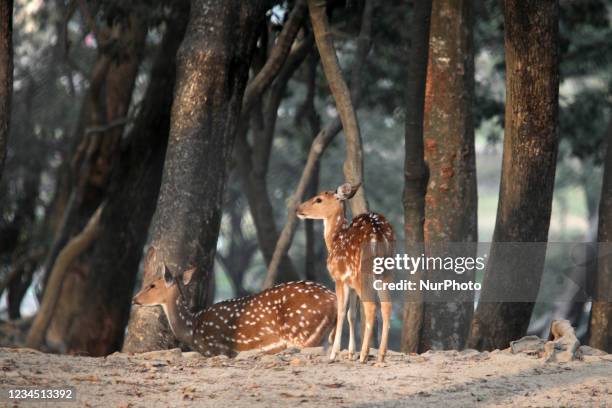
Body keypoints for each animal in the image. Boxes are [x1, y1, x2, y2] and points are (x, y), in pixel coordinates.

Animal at [131, 266, 338, 356]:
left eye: (152, 285)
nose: (134, 299)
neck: (192, 328)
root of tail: (333, 299)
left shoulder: (216, 349)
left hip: (302, 332)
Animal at [298, 183, 396, 362]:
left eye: (318, 199)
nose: (298, 209)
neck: (335, 240)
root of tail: (378, 235)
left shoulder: (339, 278)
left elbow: (342, 312)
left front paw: (333, 354)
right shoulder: (350, 283)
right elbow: (352, 315)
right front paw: (350, 353)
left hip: (362, 274)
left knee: (371, 307)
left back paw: (364, 355)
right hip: (386, 272)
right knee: (387, 305)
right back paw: (381, 355)